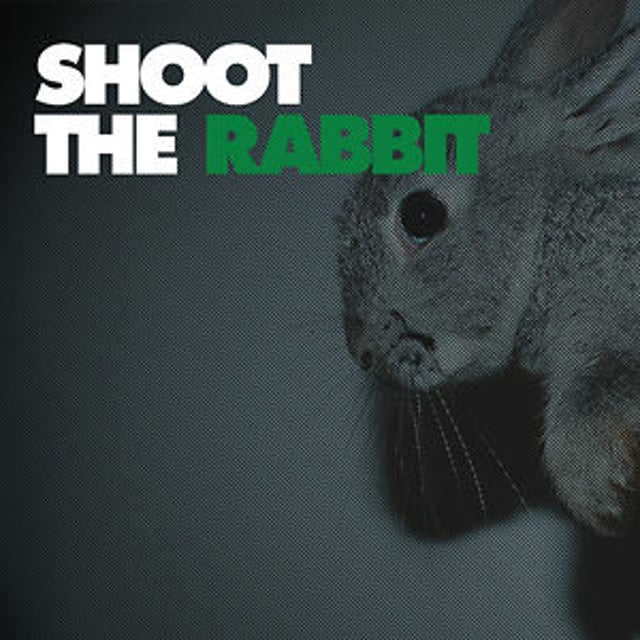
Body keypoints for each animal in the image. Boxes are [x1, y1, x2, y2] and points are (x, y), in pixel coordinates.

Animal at [337, 0, 640, 537]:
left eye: (421, 215)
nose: (361, 349)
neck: (546, 232)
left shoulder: (612, 307)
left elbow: (601, 383)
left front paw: (602, 490)